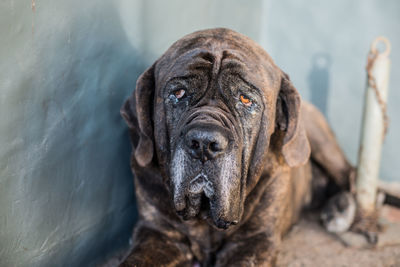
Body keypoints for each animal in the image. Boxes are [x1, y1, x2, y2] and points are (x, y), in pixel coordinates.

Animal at [119, 28, 354, 266]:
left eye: (245, 99)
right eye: (179, 93)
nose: (203, 143)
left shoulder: (254, 241)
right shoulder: (157, 232)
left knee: (349, 175)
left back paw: (344, 213)